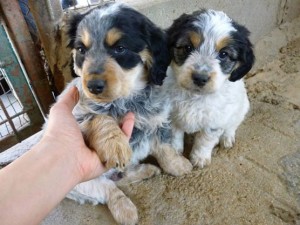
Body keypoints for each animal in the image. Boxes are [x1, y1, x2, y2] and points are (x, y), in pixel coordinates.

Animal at [61, 2, 191, 225]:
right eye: (81, 50)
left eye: (120, 48)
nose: (92, 86)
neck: (127, 98)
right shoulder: (76, 116)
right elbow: (98, 116)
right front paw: (114, 144)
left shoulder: (158, 119)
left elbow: (166, 149)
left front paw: (177, 165)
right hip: (82, 182)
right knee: (111, 190)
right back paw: (126, 211)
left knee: (121, 177)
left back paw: (146, 170)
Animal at [165, 9, 254, 168]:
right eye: (188, 47)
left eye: (223, 54)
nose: (200, 78)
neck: (195, 96)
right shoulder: (172, 115)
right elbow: (175, 135)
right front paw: (175, 152)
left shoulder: (215, 121)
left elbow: (204, 141)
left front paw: (200, 158)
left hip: (242, 108)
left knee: (232, 125)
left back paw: (227, 139)